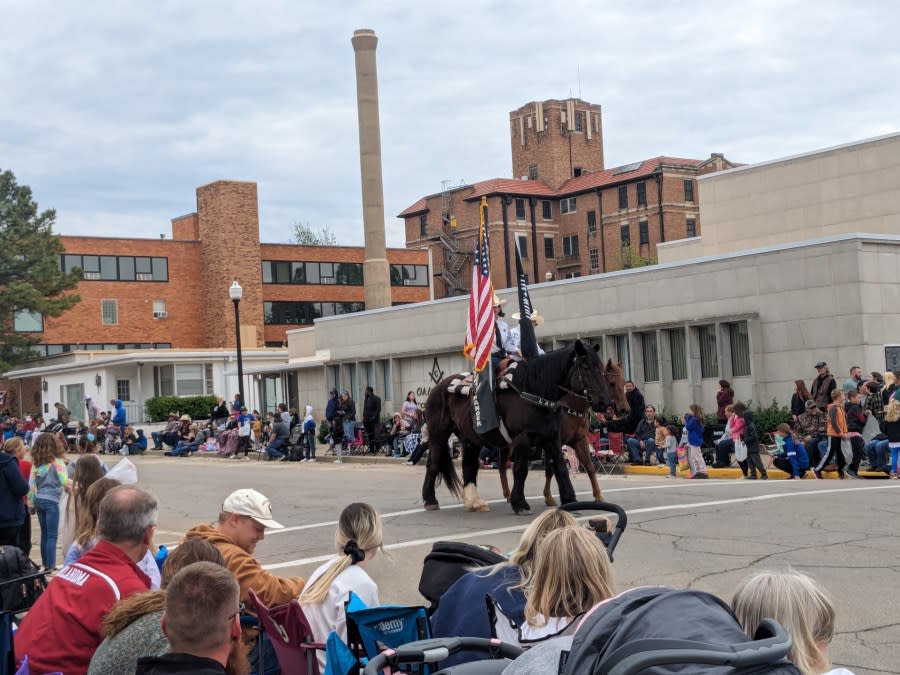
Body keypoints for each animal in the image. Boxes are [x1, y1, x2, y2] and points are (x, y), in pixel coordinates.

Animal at [422, 340, 612, 516]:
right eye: (586, 367)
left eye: (601, 368)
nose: (605, 402)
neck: (533, 392)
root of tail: (438, 388)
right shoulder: (522, 438)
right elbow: (521, 469)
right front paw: (520, 504)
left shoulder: (552, 437)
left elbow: (560, 467)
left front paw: (570, 500)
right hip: (439, 436)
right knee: (434, 463)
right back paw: (430, 500)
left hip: (470, 440)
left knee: (469, 465)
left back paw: (474, 502)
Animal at [496, 362, 628, 504]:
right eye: (612, 383)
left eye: (624, 382)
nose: (625, 409)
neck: (569, 405)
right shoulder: (554, 442)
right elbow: (551, 469)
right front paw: (549, 497)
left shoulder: (579, 440)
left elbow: (589, 466)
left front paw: (598, 495)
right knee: (502, 467)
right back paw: (507, 495)